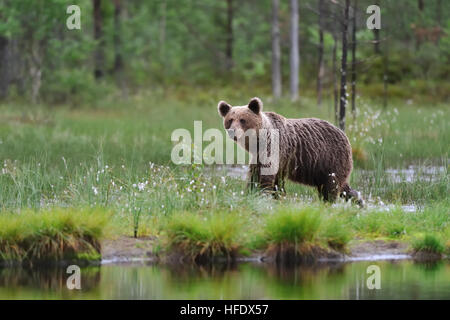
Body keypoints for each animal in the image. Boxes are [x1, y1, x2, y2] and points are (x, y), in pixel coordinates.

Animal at [217, 96, 362, 205]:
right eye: (230, 119)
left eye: (242, 120)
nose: (232, 131)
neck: (258, 141)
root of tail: (344, 134)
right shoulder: (259, 155)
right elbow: (255, 174)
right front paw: (252, 192)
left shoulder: (274, 148)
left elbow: (267, 175)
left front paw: (264, 194)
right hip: (322, 168)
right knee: (342, 187)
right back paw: (358, 201)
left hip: (331, 158)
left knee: (331, 185)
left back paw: (329, 202)